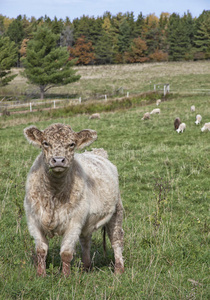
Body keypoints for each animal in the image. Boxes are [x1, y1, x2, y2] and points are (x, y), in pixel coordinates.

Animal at [23, 122, 124, 276]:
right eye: (45, 143)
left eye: (71, 144)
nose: (58, 160)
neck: (54, 194)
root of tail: (97, 152)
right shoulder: (33, 219)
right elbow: (41, 250)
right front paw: (41, 275)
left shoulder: (74, 221)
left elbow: (66, 253)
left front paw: (66, 276)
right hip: (87, 221)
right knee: (85, 241)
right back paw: (86, 267)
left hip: (116, 211)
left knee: (116, 240)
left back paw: (119, 269)